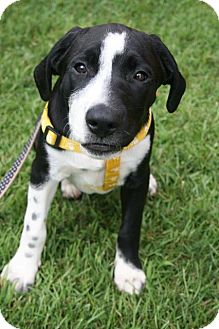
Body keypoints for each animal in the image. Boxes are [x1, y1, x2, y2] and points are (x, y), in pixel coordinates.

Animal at [0, 23, 186, 294]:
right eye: (80, 67)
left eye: (141, 75)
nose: (102, 122)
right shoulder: (41, 172)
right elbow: (34, 225)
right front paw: (22, 269)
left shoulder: (135, 182)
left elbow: (130, 228)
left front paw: (128, 271)